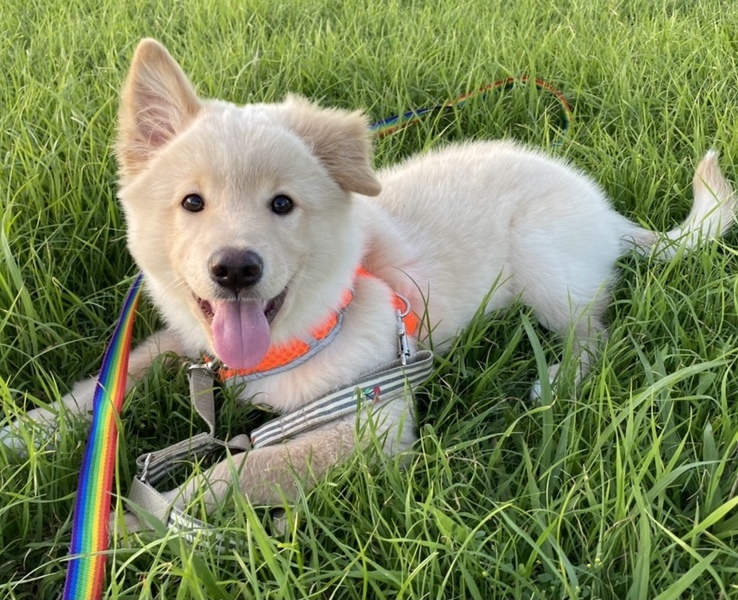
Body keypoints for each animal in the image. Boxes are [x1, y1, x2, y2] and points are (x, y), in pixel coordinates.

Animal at [2, 38, 735, 524]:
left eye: (282, 204)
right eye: (191, 203)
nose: (235, 268)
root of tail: (604, 207)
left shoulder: (374, 416)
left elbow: (247, 466)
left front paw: (143, 522)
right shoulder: (188, 347)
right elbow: (111, 379)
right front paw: (29, 432)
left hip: (545, 262)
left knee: (593, 330)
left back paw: (558, 380)